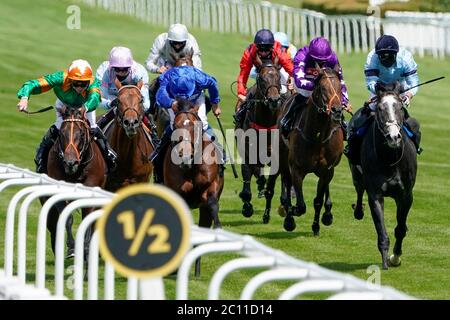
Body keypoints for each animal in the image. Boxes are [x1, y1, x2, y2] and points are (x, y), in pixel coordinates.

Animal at [41, 106, 106, 256]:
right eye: (61, 134)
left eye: (81, 134)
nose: (70, 163)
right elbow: (67, 218)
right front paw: (71, 247)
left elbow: (87, 217)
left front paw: (86, 248)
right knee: (53, 226)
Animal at [236, 54, 282, 220]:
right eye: (261, 78)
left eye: (278, 77)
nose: (274, 100)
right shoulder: (248, 154)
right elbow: (247, 181)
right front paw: (247, 207)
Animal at [282, 66, 344, 234]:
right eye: (322, 88)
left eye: (339, 87)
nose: (336, 110)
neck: (317, 136)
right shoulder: (296, 168)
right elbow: (301, 205)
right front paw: (290, 214)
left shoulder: (326, 170)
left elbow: (318, 200)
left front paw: (316, 225)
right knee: (286, 181)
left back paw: (327, 214)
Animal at [348, 83, 418, 270]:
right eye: (380, 108)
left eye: (399, 107)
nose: (393, 137)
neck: (390, 159)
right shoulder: (376, 195)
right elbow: (381, 231)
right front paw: (385, 261)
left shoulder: (405, 195)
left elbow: (400, 228)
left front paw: (395, 257)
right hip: (355, 172)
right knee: (359, 189)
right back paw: (358, 210)